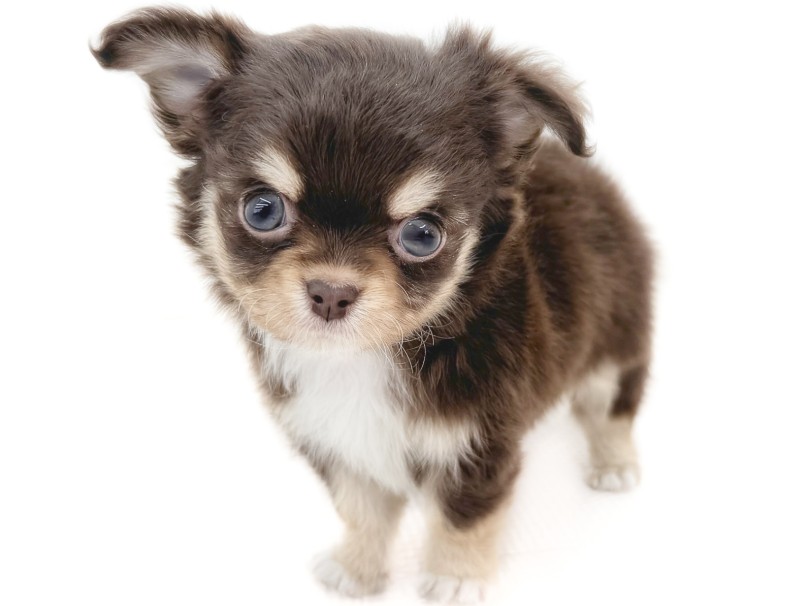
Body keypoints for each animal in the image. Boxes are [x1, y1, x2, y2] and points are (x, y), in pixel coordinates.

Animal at [93, 7, 654, 602]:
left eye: (422, 235)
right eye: (263, 210)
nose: (332, 291)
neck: (365, 357)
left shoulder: (483, 443)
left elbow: (464, 516)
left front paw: (454, 576)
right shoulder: (336, 441)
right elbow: (361, 510)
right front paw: (357, 569)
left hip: (619, 338)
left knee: (612, 406)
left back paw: (614, 464)